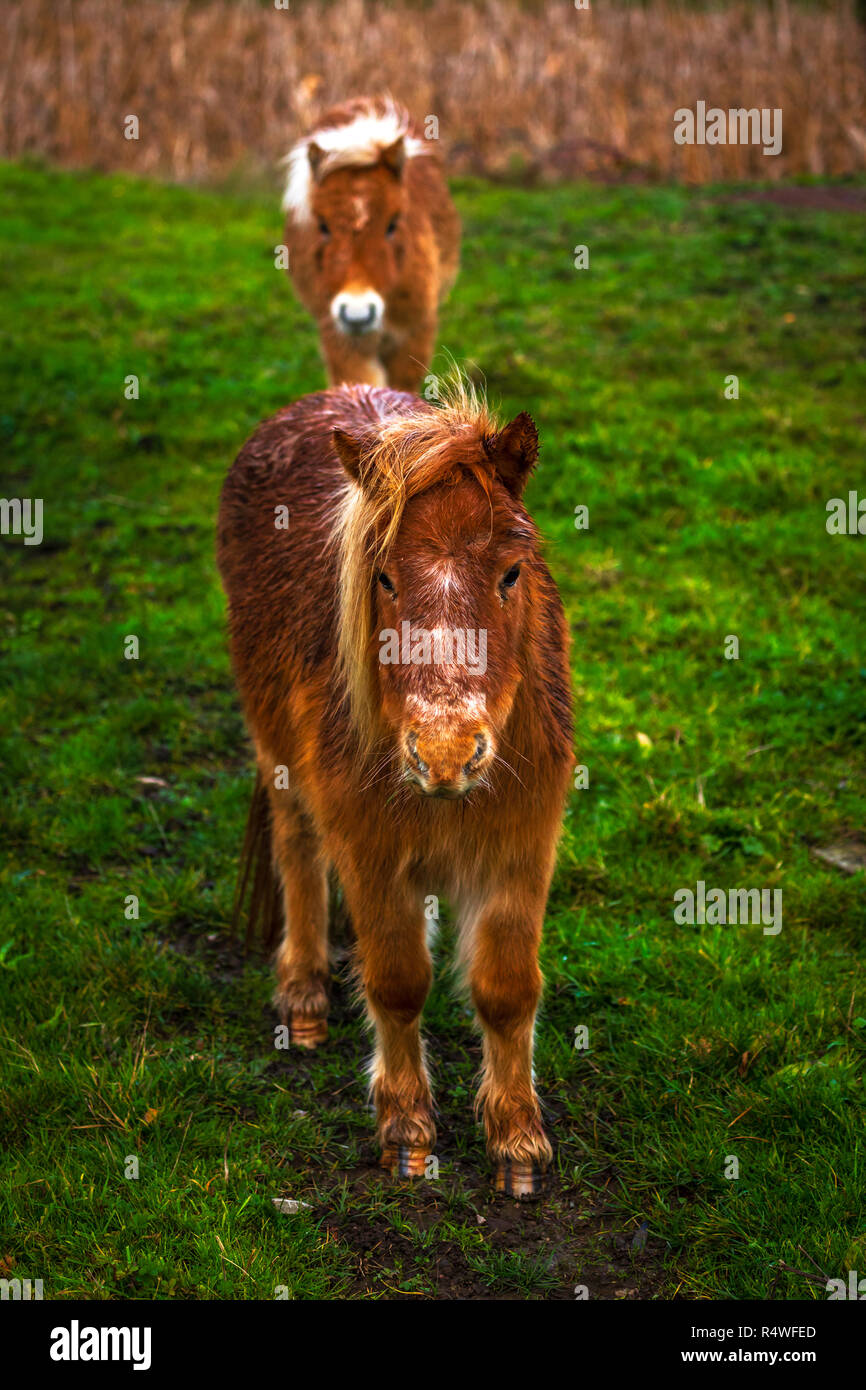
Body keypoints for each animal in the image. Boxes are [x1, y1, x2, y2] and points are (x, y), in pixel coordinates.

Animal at [215, 378, 575, 1195]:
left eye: (512, 573)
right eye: (382, 576)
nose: (445, 754)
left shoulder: (522, 846)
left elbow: (507, 989)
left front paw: (517, 1140)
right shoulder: (370, 847)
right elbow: (399, 980)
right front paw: (407, 1129)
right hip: (278, 752)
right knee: (295, 845)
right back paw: (305, 993)